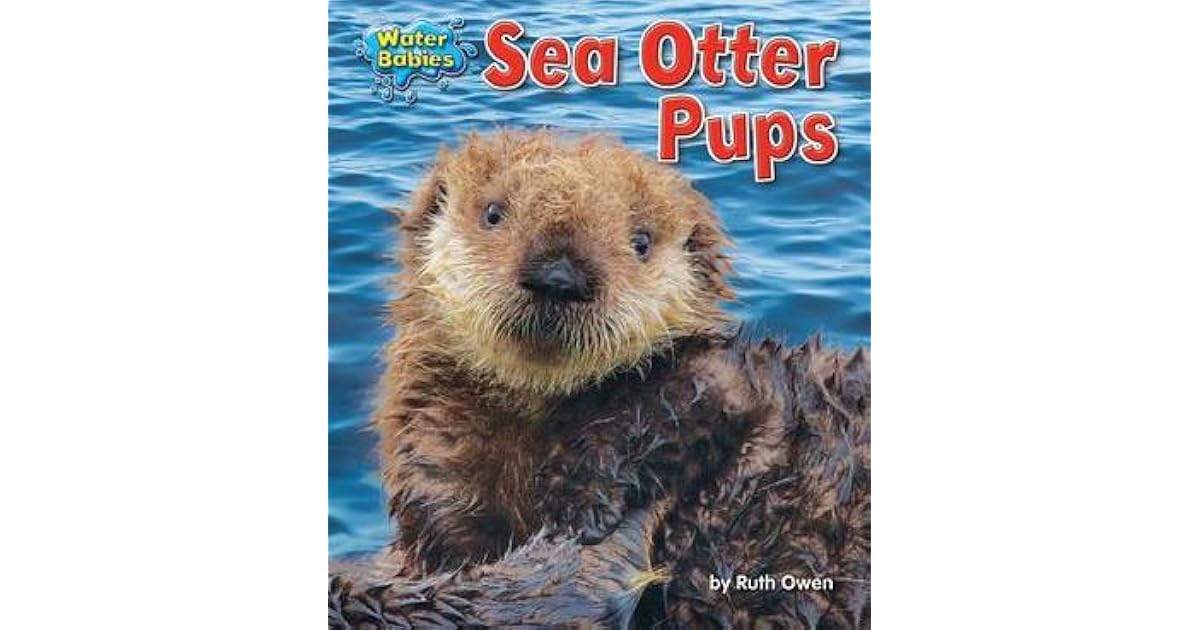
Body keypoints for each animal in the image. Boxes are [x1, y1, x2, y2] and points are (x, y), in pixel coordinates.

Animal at [341, 130, 870, 628]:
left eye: (641, 242)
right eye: (492, 213)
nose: (559, 278)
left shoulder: (722, 377)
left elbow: (669, 406)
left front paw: (583, 506)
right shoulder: (437, 455)